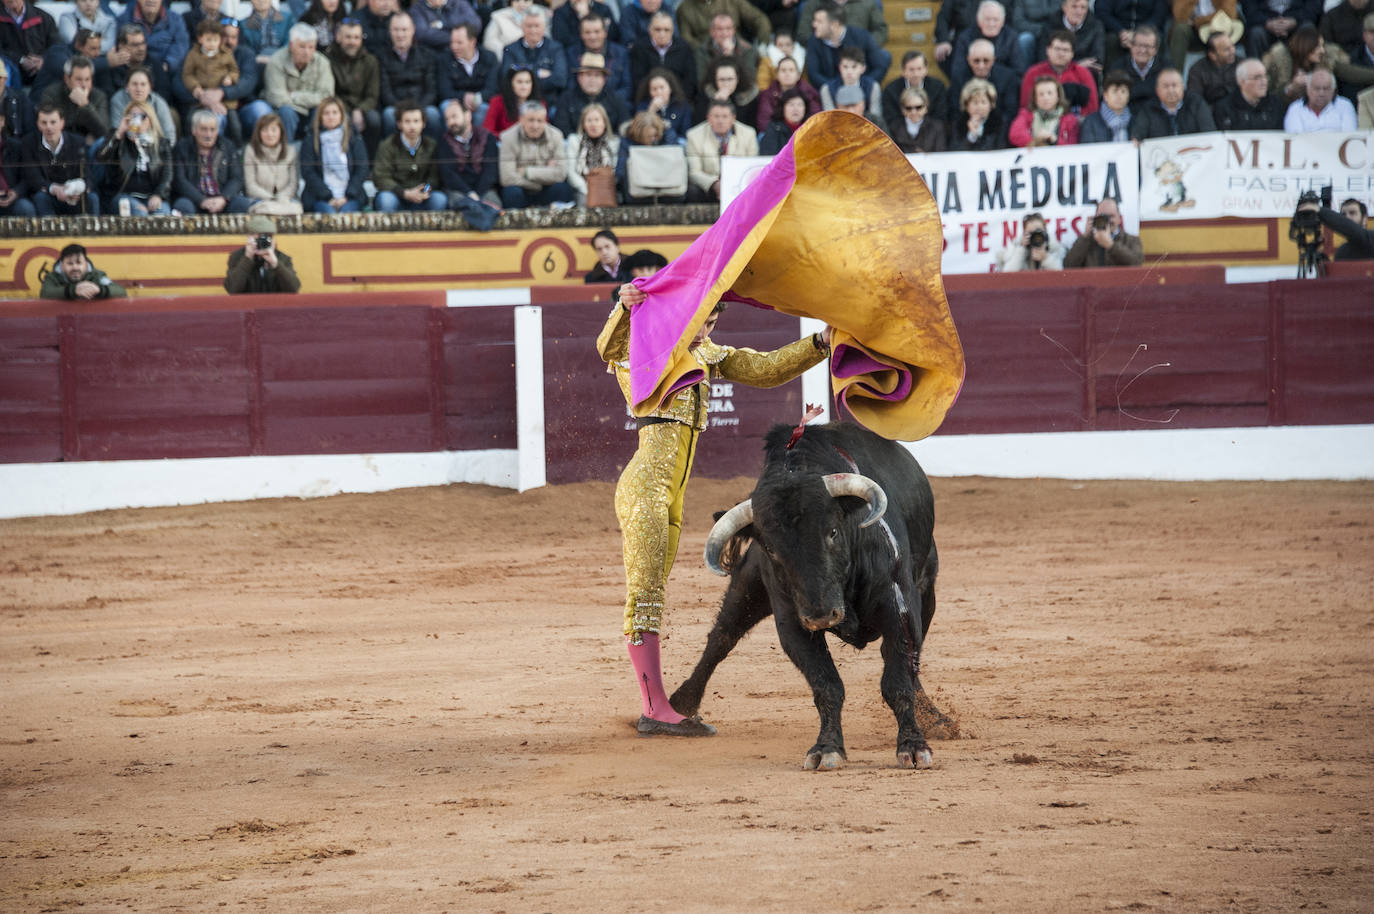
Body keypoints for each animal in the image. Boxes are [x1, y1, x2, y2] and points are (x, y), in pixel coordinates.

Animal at [667, 423, 950, 769]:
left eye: (833, 532)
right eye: (772, 548)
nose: (821, 615)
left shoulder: (898, 608)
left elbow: (897, 680)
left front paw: (913, 746)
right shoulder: (793, 625)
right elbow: (826, 686)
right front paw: (827, 748)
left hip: (927, 592)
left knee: (914, 661)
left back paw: (934, 718)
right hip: (748, 584)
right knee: (722, 636)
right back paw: (681, 703)